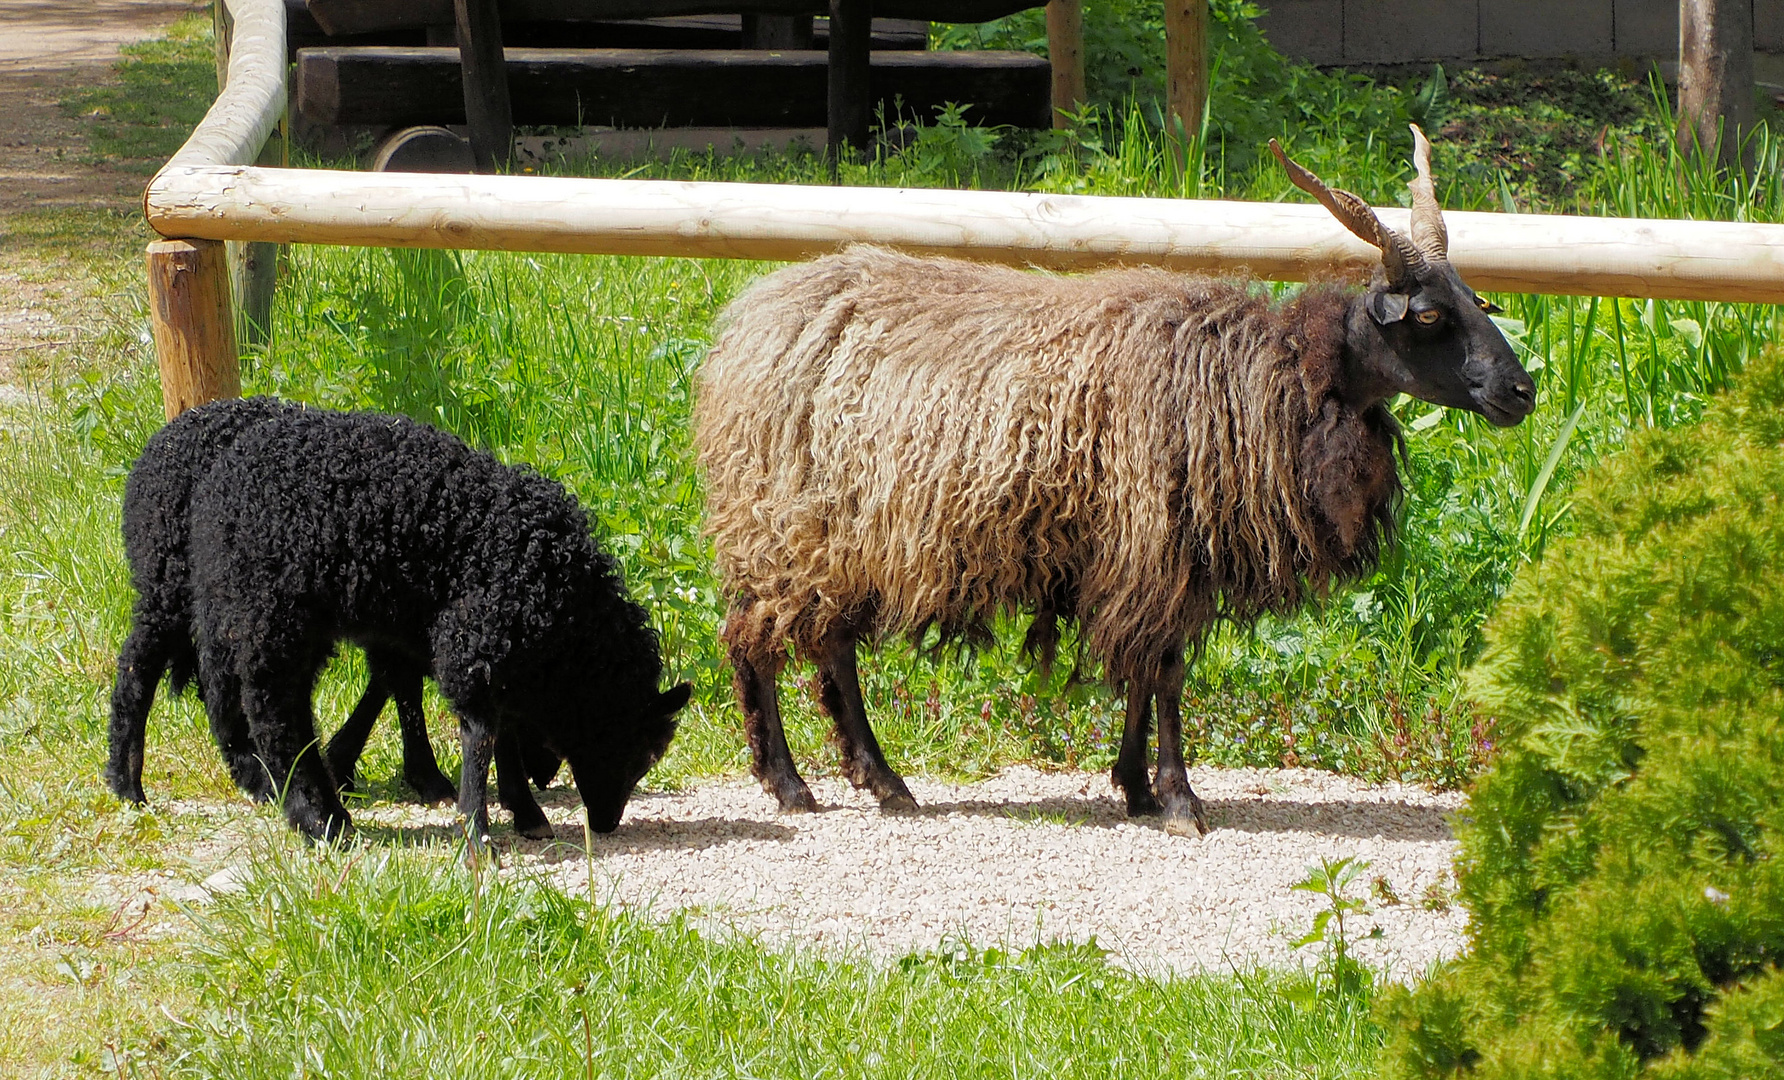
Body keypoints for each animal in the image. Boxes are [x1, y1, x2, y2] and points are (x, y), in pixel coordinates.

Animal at [167, 399, 685, 839]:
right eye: (642, 753)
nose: (606, 822)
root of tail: (224, 471)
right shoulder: (479, 636)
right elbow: (478, 724)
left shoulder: (459, 637)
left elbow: (415, 693)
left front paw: (509, 803)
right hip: (273, 612)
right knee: (276, 713)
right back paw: (317, 816)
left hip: (248, 611)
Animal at [695, 124, 1534, 835]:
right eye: (1428, 316)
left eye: (1476, 300)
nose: (1520, 392)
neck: (1274, 376)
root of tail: (752, 317)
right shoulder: (1154, 544)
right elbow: (1163, 674)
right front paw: (1177, 798)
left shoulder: (1160, 555)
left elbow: (1147, 670)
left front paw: (1134, 787)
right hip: (788, 526)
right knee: (751, 636)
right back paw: (790, 784)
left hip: (841, 536)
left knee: (828, 647)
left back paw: (882, 781)